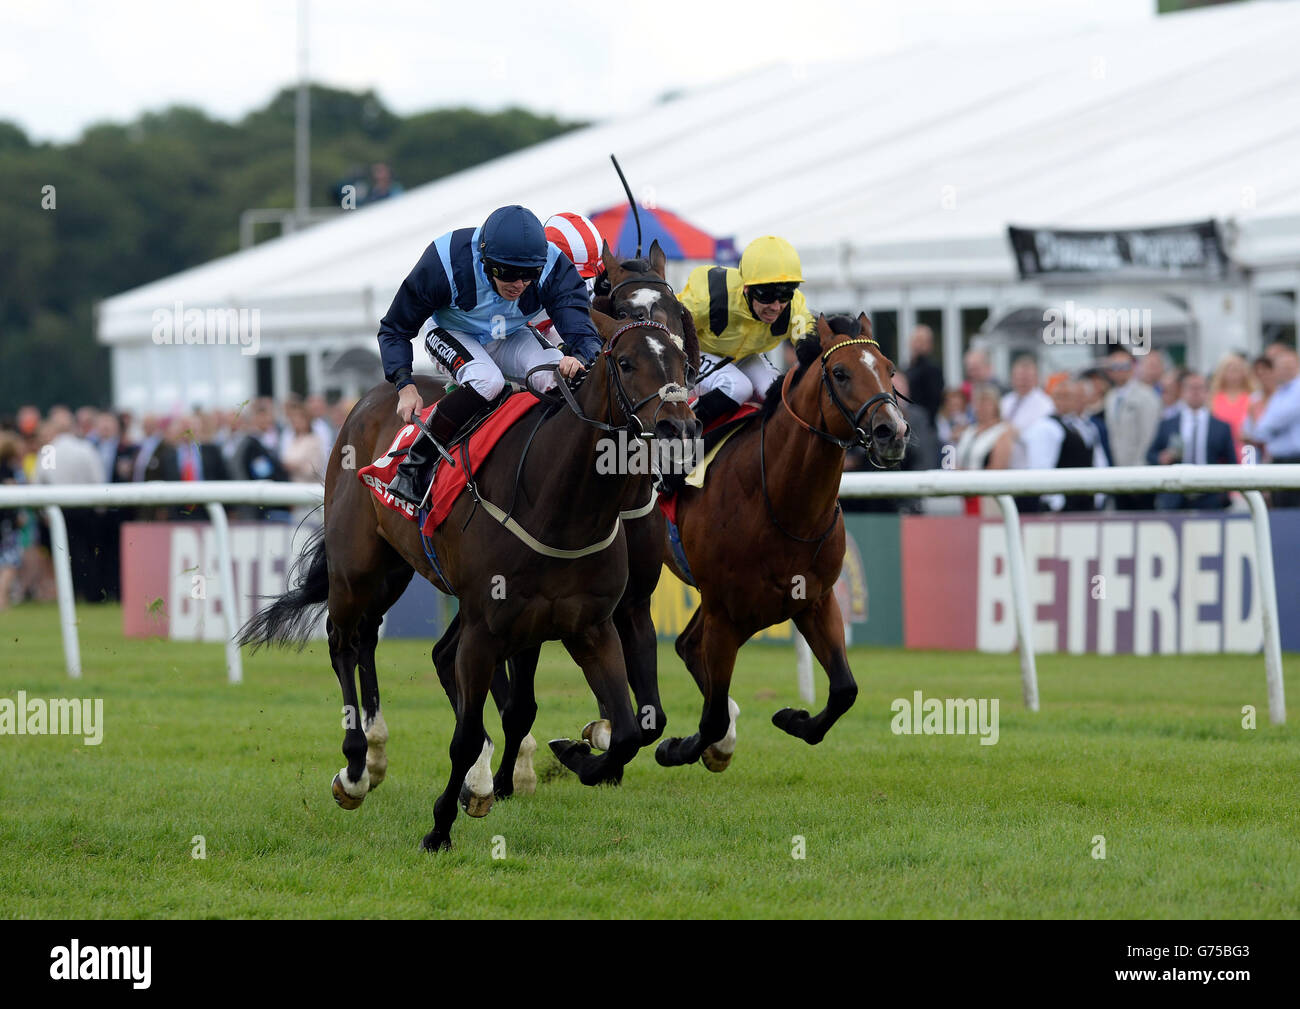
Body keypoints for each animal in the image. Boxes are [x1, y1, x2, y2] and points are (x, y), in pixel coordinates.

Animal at [237, 310, 696, 847]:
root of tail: (369, 399)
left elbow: (626, 731)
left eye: (684, 360)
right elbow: (470, 733)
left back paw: (388, 757)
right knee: (343, 640)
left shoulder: (590, 625)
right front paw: (440, 827)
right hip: (358, 566)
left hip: (398, 567)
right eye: (625, 362)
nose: (678, 425)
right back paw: (355, 768)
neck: (558, 501)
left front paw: (575, 756)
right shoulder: (486, 628)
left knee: (375, 638)